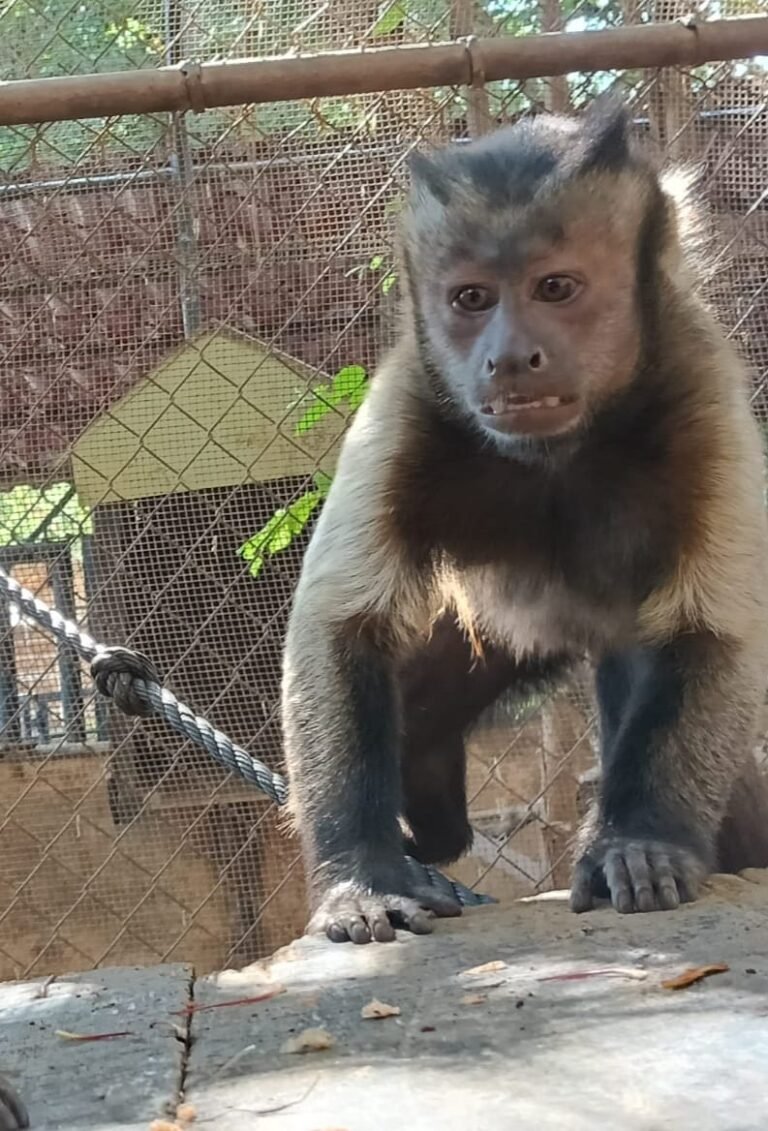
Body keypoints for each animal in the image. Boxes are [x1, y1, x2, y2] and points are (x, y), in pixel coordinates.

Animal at [281, 96, 768, 944]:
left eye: (555, 288)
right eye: (472, 299)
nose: (508, 357)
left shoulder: (699, 379)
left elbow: (712, 629)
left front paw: (643, 840)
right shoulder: (409, 401)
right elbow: (341, 622)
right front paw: (360, 877)